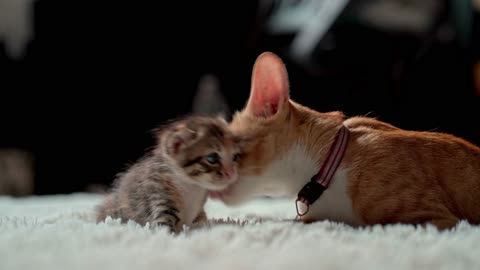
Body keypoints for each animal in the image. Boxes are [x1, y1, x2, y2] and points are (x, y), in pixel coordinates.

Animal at [96, 117, 242, 233]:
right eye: (212, 158)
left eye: (234, 157)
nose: (231, 173)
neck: (192, 186)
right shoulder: (160, 193)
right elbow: (164, 226)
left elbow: (201, 220)